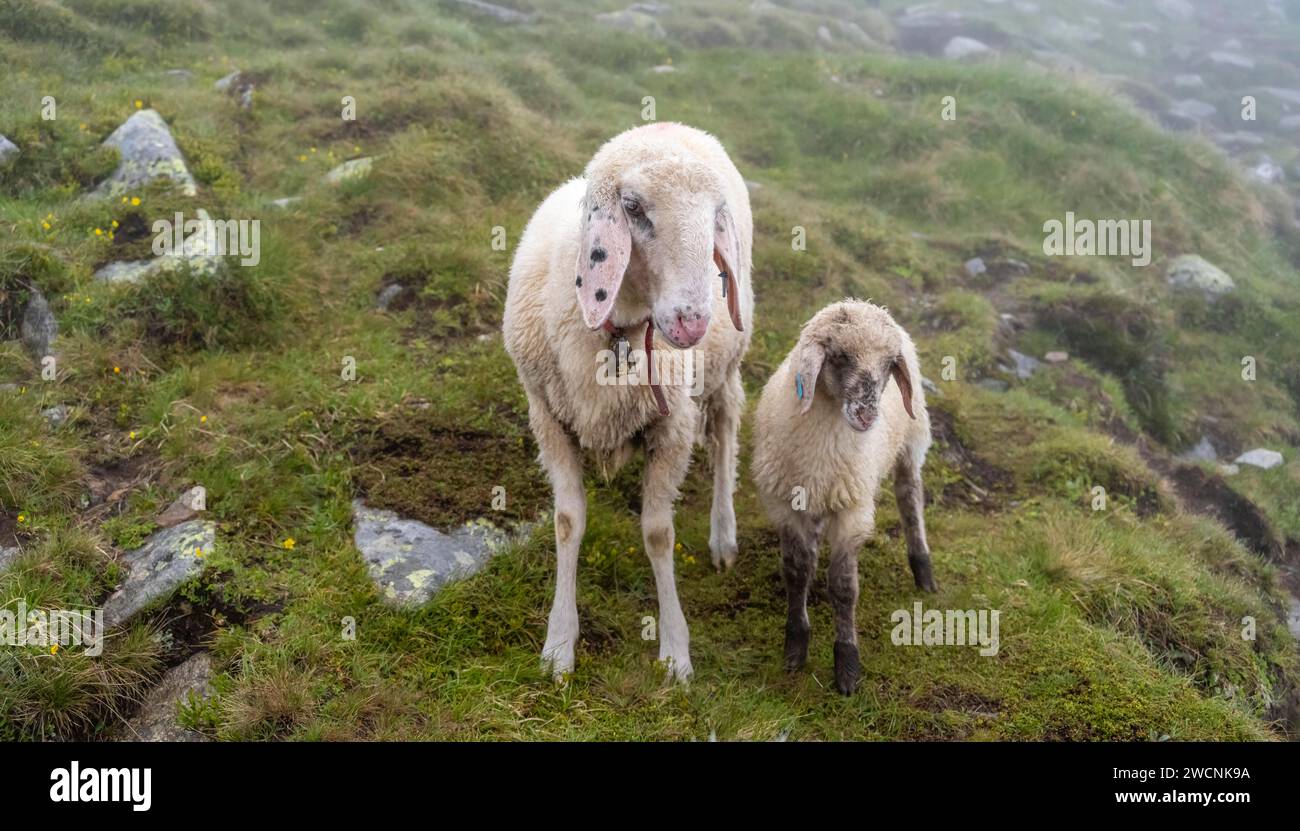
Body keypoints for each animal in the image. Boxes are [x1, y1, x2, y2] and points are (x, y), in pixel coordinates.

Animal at [501, 123, 759, 681]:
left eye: (715, 216)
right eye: (634, 208)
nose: (691, 322)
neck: (619, 331)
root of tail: (672, 125)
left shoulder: (673, 426)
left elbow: (659, 534)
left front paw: (676, 652)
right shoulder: (547, 416)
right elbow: (568, 522)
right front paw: (559, 645)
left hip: (726, 360)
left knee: (726, 426)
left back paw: (723, 534)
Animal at [754, 299, 935, 697]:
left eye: (889, 364)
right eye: (838, 357)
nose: (867, 416)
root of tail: (866, 302)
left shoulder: (853, 510)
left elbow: (843, 586)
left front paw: (847, 666)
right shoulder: (786, 505)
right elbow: (796, 570)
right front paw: (795, 647)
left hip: (910, 442)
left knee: (910, 499)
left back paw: (924, 570)